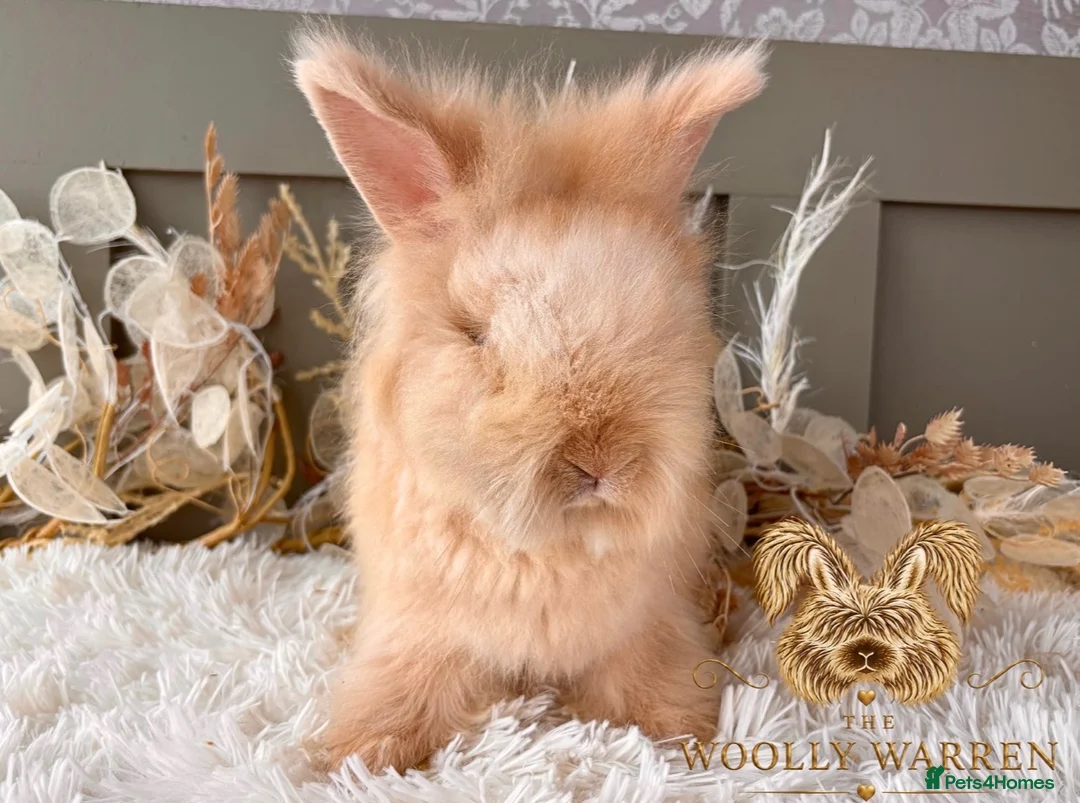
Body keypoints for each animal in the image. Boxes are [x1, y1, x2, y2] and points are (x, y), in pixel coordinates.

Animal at [290, 26, 767, 772]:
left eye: (658, 328)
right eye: (476, 334)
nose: (599, 462)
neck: (546, 546)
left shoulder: (643, 625)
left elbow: (645, 678)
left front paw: (681, 735)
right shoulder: (422, 628)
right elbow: (404, 688)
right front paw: (358, 754)